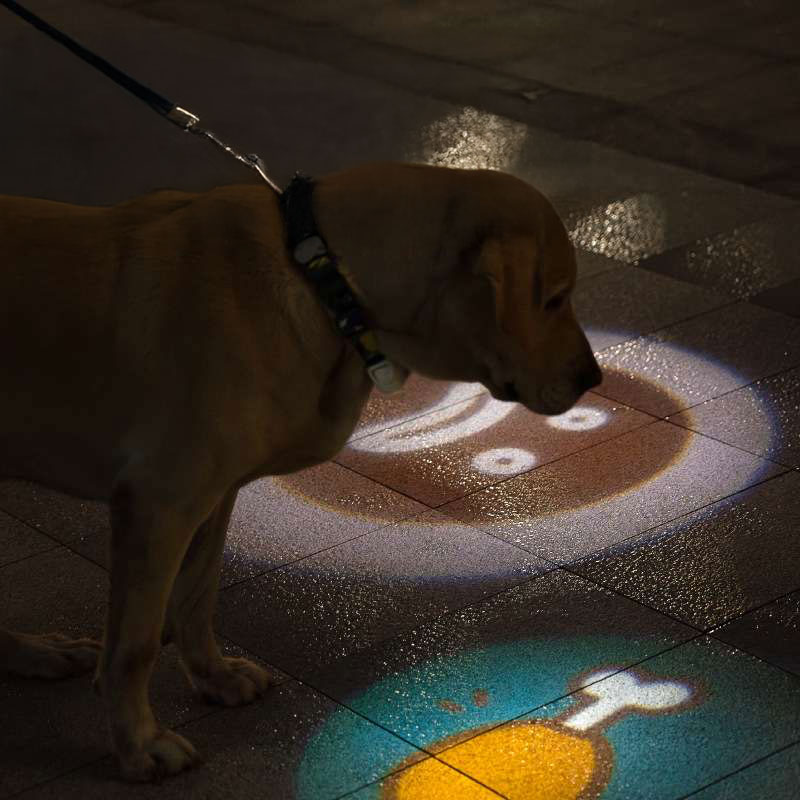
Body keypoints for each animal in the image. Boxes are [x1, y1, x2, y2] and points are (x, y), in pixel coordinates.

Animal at [0, 162, 600, 780]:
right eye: (555, 298)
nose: (593, 378)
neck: (323, 275)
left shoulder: (211, 498)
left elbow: (198, 593)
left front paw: (212, 675)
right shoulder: (159, 505)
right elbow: (136, 644)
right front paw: (139, 743)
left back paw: (34, 653)